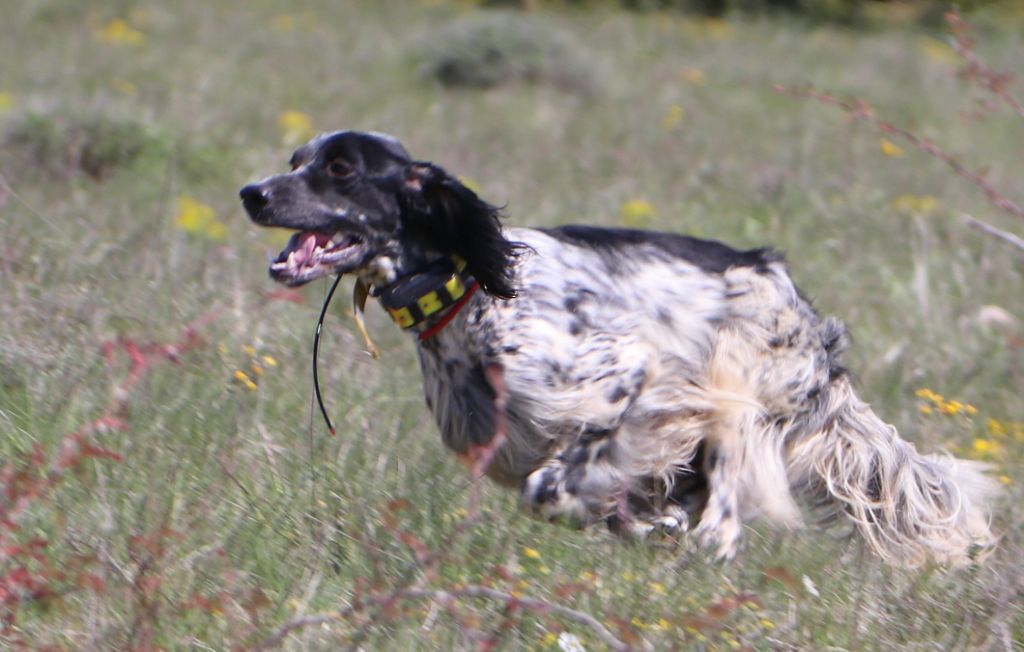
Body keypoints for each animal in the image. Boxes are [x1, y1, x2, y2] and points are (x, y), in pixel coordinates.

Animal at [241, 128, 999, 564]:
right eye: (296, 162)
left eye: (341, 169)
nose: (252, 192)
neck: (469, 290)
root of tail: (812, 322)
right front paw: (644, 520)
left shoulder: (627, 376)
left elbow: (551, 486)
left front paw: (617, 514)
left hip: (739, 372)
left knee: (724, 516)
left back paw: (701, 540)